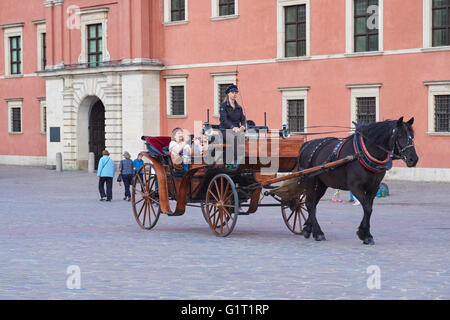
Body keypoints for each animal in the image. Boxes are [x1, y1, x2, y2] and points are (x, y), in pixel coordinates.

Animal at [298, 117, 418, 245]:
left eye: (412, 136)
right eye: (399, 135)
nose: (414, 159)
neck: (362, 154)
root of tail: (306, 145)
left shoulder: (374, 187)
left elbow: (369, 208)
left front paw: (364, 232)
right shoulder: (355, 187)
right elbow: (367, 207)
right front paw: (365, 234)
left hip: (322, 184)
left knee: (313, 204)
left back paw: (308, 228)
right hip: (310, 181)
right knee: (310, 204)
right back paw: (318, 232)